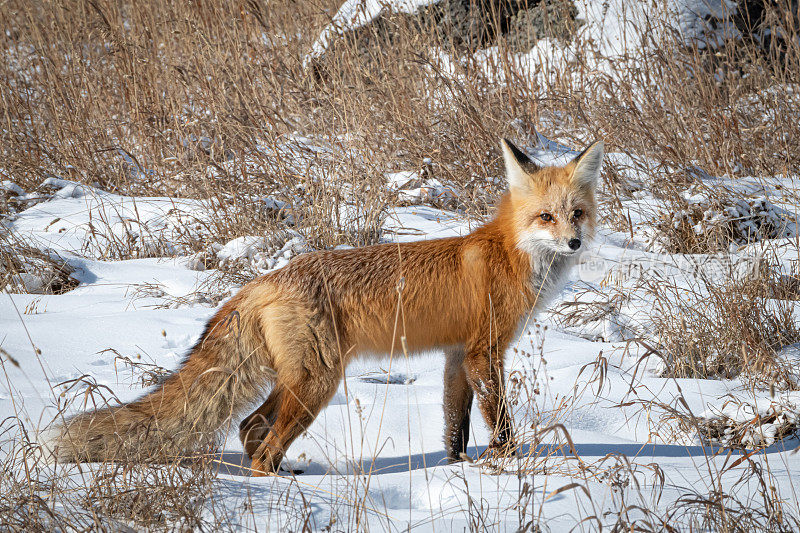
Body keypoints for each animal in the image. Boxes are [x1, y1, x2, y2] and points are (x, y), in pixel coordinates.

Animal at [56, 138, 604, 474]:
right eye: (546, 217)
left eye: (576, 213)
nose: (575, 243)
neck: (510, 254)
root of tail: (261, 281)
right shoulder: (484, 352)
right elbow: (501, 420)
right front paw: (506, 464)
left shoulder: (456, 355)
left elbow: (455, 424)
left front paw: (456, 470)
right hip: (318, 382)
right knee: (262, 446)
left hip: (300, 380)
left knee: (250, 428)